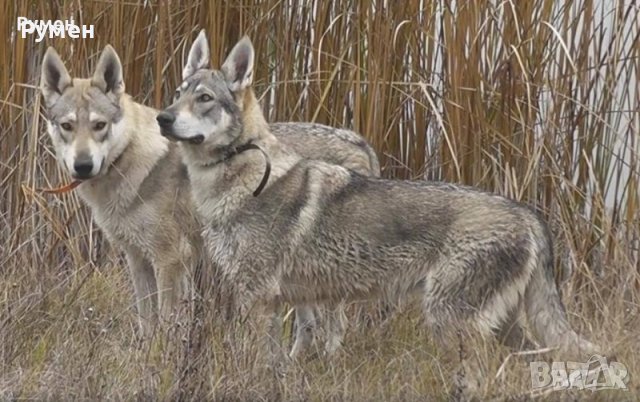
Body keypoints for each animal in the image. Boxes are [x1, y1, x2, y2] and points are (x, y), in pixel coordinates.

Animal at [40, 36, 378, 354]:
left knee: (335, 327)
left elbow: (165, 321)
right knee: (309, 326)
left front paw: (160, 361)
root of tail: (358, 141)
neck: (132, 164)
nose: (83, 166)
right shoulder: (138, 260)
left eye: (99, 125)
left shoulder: (170, 259)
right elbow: (147, 322)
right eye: (67, 126)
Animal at [159, 36, 600, 370]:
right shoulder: (289, 298)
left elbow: (258, 360)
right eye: (178, 95)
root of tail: (528, 214)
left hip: (452, 322)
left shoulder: (259, 297)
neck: (242, 179)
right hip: (502, 327)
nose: (163, 118)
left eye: (204, 98)